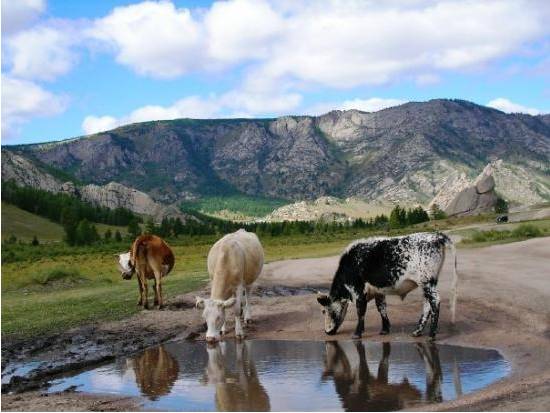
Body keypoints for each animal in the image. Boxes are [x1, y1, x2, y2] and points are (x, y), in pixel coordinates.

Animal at [316, 230, 460, 340]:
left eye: (324, 311)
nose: (327, 332)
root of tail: (435, 235)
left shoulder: (358, 292)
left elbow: (360, 312)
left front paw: (357, 333)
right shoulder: (378, 292)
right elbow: (382, 308)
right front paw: (385, 329)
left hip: (427, 282)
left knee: (435, 302)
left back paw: (431, 334)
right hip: (426, 284)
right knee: (427, 305)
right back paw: (417, 332)